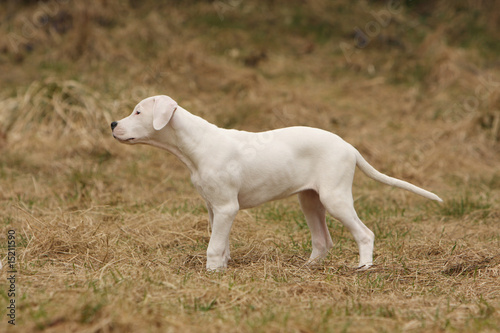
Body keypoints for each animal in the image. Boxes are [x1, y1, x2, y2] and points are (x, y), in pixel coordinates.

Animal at [112, 95, 442, 270]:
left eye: (138, 112)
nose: (113, 124)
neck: (197, 145)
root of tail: (349, 147)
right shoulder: (214, 208)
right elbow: (222, 243)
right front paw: (223, 267)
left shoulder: (226, 207)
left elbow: (213, 246)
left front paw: (211, 272)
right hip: (310, 201)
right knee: (323, 240)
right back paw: (309, 267)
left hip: (335, 199)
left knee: (364, 233)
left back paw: (364, 267)